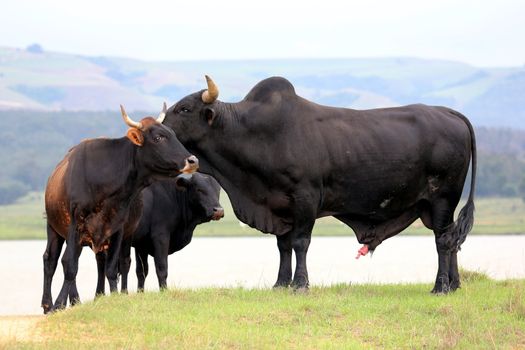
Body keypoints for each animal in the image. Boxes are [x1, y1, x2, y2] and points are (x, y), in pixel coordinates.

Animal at [41, 104, 199, 312]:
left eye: (172, 134)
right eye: (158, 138)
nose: (193, 161)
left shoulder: (117, 228)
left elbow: (111, 267)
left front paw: (115, 296)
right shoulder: (76, 225)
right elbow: (70, 265)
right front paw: (58, 304)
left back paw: (81, 299)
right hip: (54, 228)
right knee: (50, 260)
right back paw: (48, 303)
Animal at [163, 76, 474, 292]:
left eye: (185, 108)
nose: (158, 126)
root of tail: (449, 112)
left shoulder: (306, 198)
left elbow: (300, 243)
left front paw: (300, 283)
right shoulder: (280, 206)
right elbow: (283, 246)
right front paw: (281, 283)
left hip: (443, 197)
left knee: (443, 242)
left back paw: (440, 286)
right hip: (433, 207)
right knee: (450, 239)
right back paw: (455, 284)